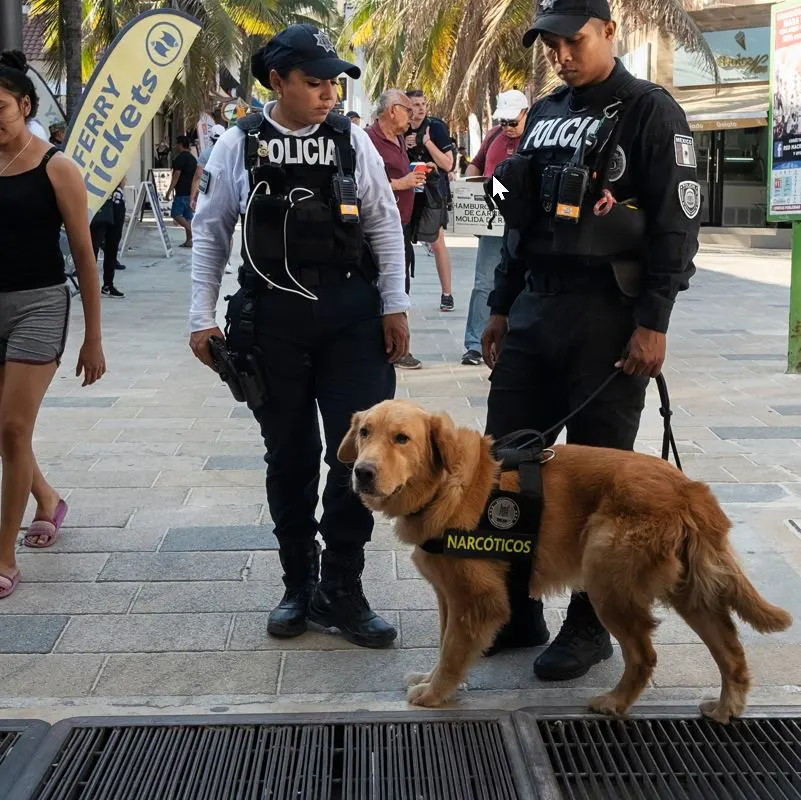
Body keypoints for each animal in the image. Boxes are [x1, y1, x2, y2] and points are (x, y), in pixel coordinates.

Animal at [334, 400, 792, 724]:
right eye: (364, 432)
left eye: (402, 438)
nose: (363, 472)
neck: (447, 485)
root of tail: (689, 488)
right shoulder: (450, 597)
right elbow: (445, 645)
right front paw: (431, 681)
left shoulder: (476, 602)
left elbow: (451, 653)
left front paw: (434, 695)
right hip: (689, 593)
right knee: (731, 650)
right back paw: (726, 708)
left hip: (606, 580)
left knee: (644, 655)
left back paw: (615, 702)